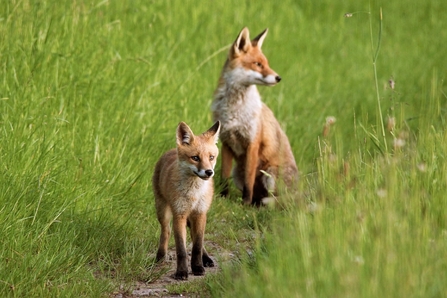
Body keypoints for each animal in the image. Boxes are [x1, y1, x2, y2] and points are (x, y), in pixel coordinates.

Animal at [213, 27, 300, 205]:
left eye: (266, 64)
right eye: (258, 64)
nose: (278, 78)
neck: (234, 110)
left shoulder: (253, 142)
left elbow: (249, 180)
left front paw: (244, 203)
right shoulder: (226, 142)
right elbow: (224, 176)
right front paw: (224, 197)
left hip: (271, 175)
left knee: (277, 200)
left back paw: (259, 204)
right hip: (237, 173)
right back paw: (255, 203)